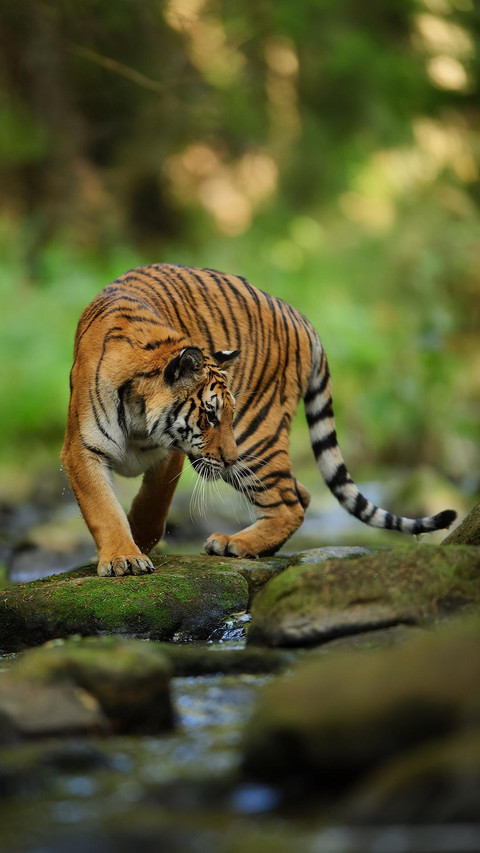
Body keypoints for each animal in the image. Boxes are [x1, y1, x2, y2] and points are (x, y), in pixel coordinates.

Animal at [61, 263, 457, 577]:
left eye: (226, 414)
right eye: (210, 415)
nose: (230, 458)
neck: (140, 415)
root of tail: (299, 315)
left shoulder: (171, 451)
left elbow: (151, 503)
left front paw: (137, 546)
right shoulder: (82, 449)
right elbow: (103, 508)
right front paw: (124, 557)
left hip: (256, 438)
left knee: (290, 501)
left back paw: (231, 544)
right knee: (301, 493)